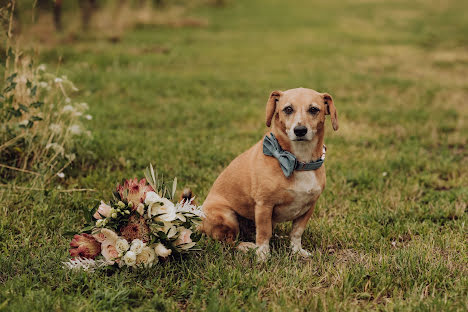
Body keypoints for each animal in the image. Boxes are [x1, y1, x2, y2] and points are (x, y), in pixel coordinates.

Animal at [200, 87, 336, 258]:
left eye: (313, 109)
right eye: (288, 109)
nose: (300, 130)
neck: (297, 161)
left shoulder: (309, 207)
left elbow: (297, 232)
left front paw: (297, 251)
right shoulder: (264, 205)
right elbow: (264, 234)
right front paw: (263, 256)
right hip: (227, 216)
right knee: (229, 241)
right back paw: (246, 246)